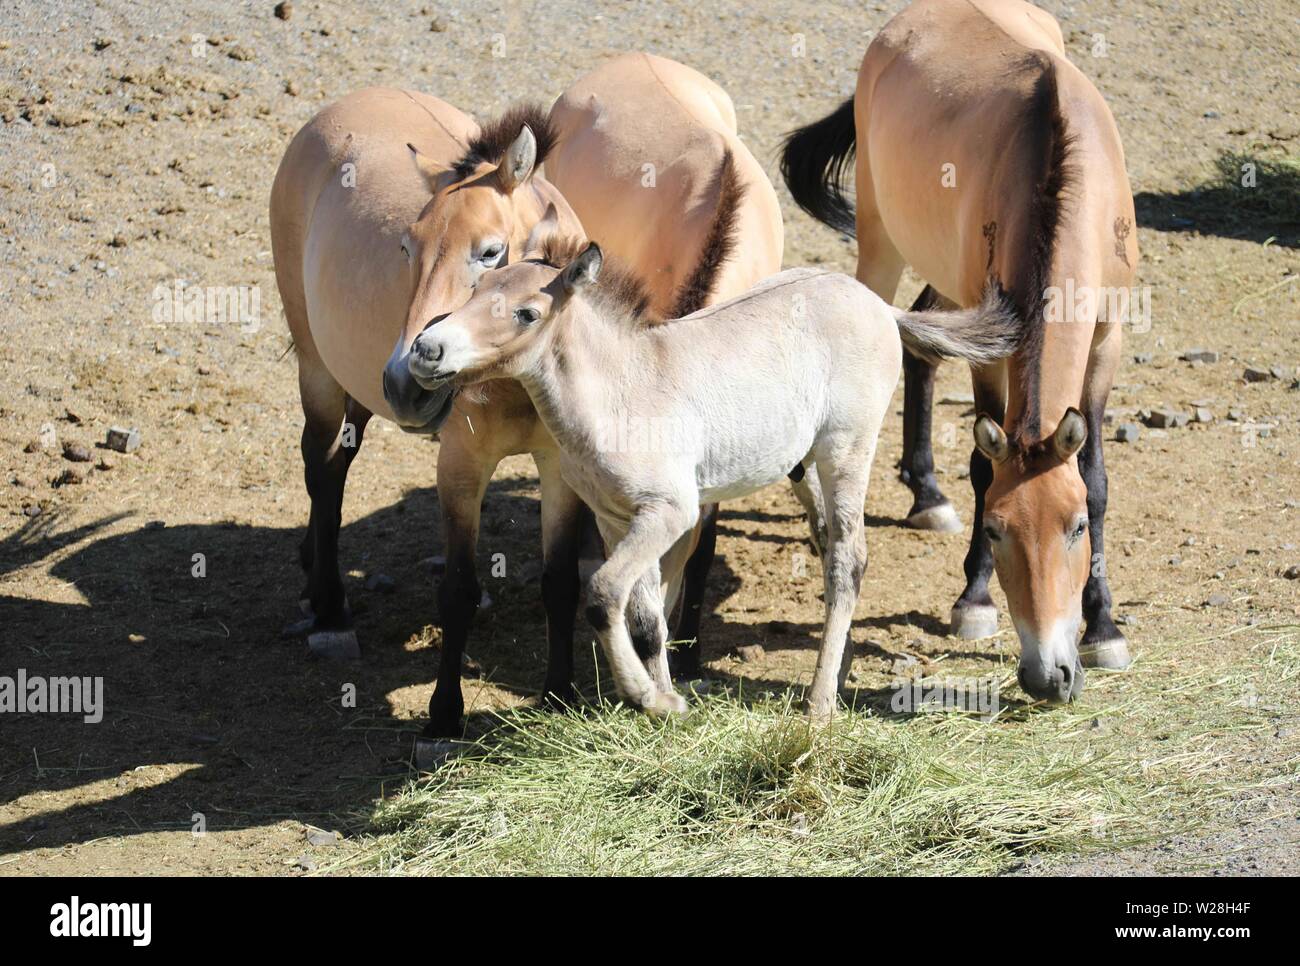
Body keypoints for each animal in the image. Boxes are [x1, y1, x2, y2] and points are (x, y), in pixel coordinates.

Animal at [403, 233, 1019, 719]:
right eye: (476, 292)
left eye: (527, 313)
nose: (426, 350)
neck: (621, 391)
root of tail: (880, 306)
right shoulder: (613, 516)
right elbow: (647, 617)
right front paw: (670, 704)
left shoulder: (669, 510)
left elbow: (603, 594)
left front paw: (648, 698)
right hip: (803, 464)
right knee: (825, 544)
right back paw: (835, 676)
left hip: (847, 447)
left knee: (849, 558)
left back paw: (820, 704)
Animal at [780, 0, 1137, 703]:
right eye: (997, 528)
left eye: (1077, 527)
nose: (1046, 676)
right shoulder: (994, 348)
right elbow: (981, 463)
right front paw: (974, 598)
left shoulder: (1106, 339)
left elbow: (1096, 475)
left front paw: (1105, 626)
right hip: (882, 246)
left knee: (921, 342)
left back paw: (926, 493)